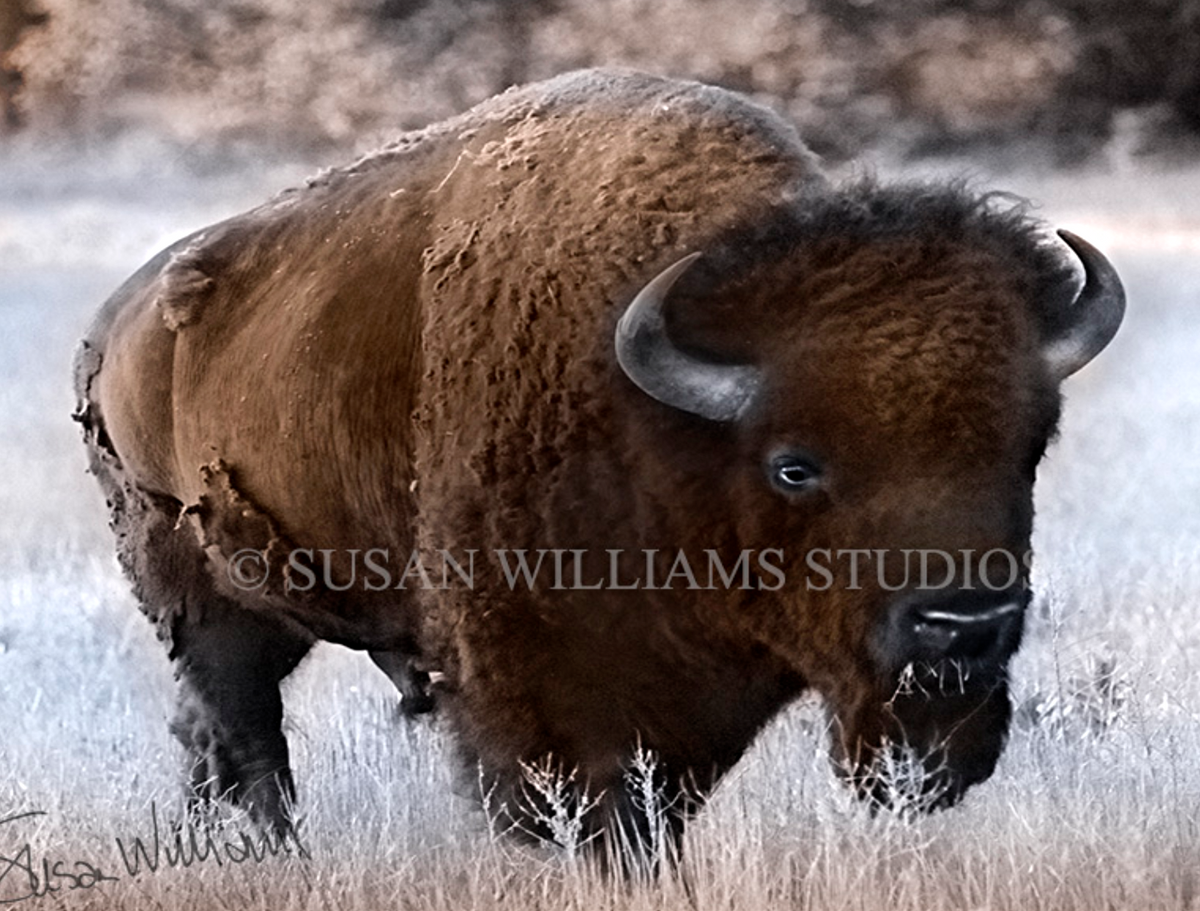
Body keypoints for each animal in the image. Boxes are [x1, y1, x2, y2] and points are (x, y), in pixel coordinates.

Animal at [74, 69, 1123, 863]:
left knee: (206, 729)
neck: (657, 421)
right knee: (245, 731)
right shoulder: (538, 680)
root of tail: (117, 324)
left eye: (1032, 442)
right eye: (794, 465)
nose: (965, 623)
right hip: (202, 597)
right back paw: (280, 852)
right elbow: (585, 800)